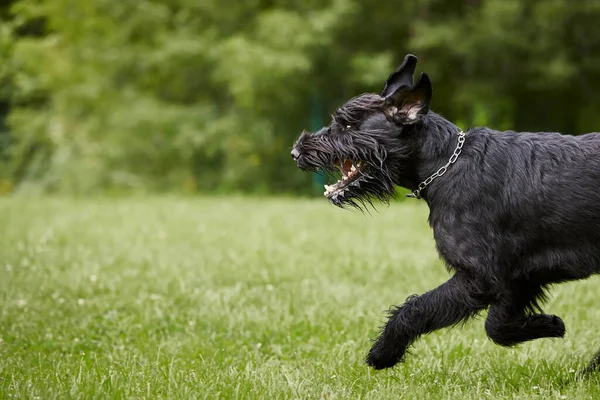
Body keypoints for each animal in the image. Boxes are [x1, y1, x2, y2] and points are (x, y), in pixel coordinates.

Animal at [290, 54, 600, 374]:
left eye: (349, 125)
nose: (296, 152)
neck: (445, 163)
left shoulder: (480, 277)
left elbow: (417, 309)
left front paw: (382, 353)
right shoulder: (520, 277)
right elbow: (498, 326)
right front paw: (548, 325)